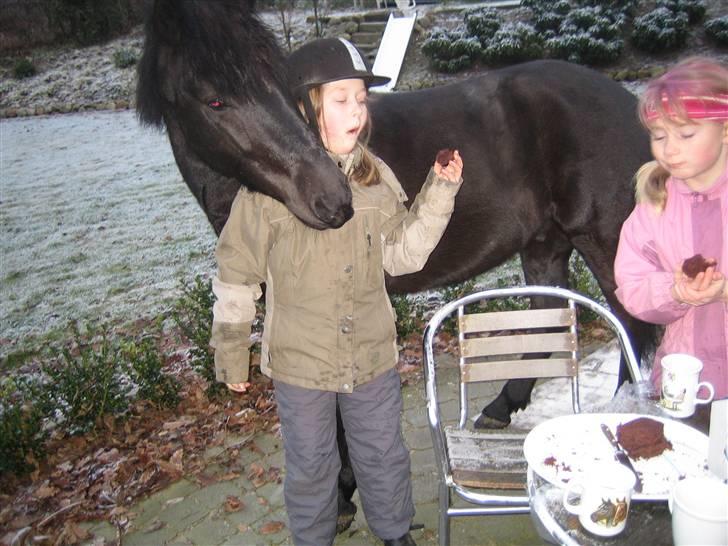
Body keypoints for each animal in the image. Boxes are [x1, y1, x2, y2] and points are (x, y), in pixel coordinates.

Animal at [136, 0, 656, 528]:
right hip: (545, 245)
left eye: (277, 84)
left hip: (603, 243)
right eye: (214, 101)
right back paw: (502, 408)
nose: (330, 200)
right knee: (545, 324)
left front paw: (343, 493)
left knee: (633, 329)